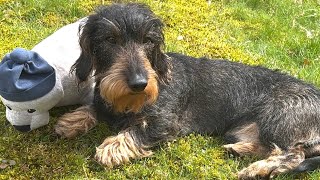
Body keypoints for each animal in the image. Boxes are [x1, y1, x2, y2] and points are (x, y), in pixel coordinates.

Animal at [55, 2, 320, 179]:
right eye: (110, 39)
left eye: (148, 40)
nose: (139, 83)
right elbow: (95, 107)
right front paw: (72, 120)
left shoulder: (166, 123)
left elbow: (136, 132)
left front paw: (111, 148)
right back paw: (240, 150)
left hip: (278, 118)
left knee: (294, 153)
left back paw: (259, 169)